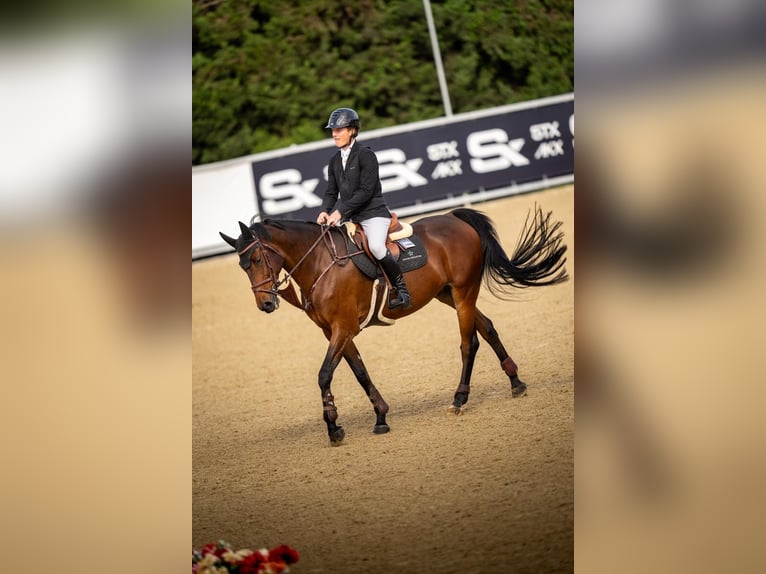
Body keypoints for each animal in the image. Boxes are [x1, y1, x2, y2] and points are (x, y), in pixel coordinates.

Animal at [219, 205, 568, 446]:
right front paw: (381, 416)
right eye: (242, 265)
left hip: (463, 293)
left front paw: (333, 427)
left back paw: (459, 399)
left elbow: (324, 375)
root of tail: (455, 218)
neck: (321, 263)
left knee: (468, 343)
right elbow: (360, 373)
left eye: (258, 260)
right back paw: (515, 381)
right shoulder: (335, 331)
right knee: (488, 328)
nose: (265, 304)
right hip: (449, 296)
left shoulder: (343, 328)